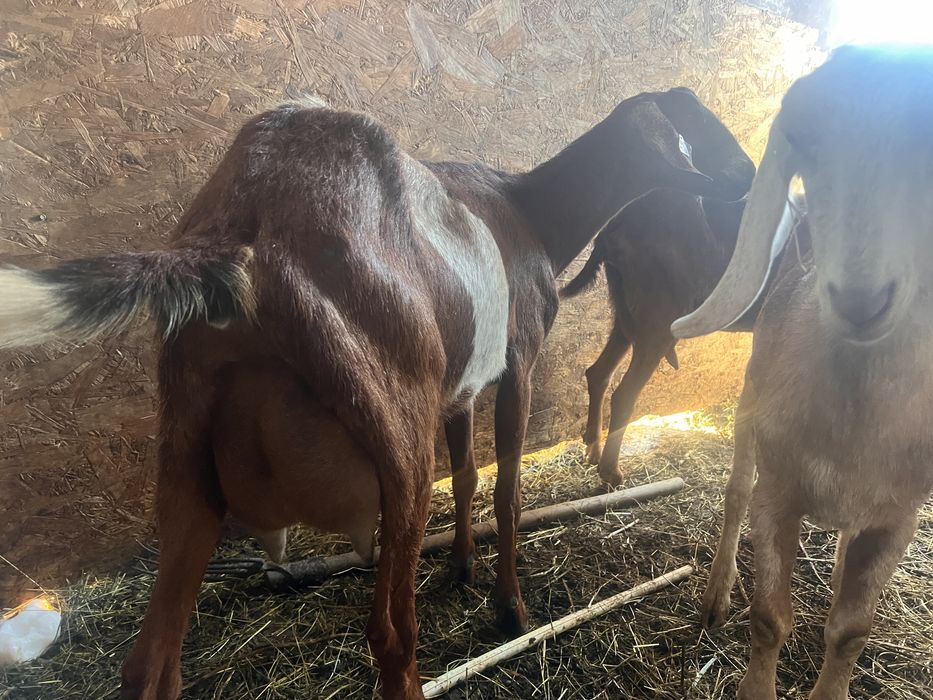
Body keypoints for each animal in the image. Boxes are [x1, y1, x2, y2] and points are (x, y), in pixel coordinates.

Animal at [0, 90, 752, 700]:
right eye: (696, 123)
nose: (742, 181)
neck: (530, 210)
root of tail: (246, 236)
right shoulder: (519, 362)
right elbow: (506, 489)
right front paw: (508, 606)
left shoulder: (458, 392)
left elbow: (469, 474)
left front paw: (463, 567)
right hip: (398, 444)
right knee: (391, 634)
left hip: (187, 454)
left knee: (150, 664)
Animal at [672, 45, 933, 700]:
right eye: (804, 140)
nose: (861, 298)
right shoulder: (780, 493)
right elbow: (769, 617)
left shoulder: (897, 519)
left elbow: (852, 631)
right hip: (749, 405)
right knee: (735, 494)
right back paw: (714, 599)